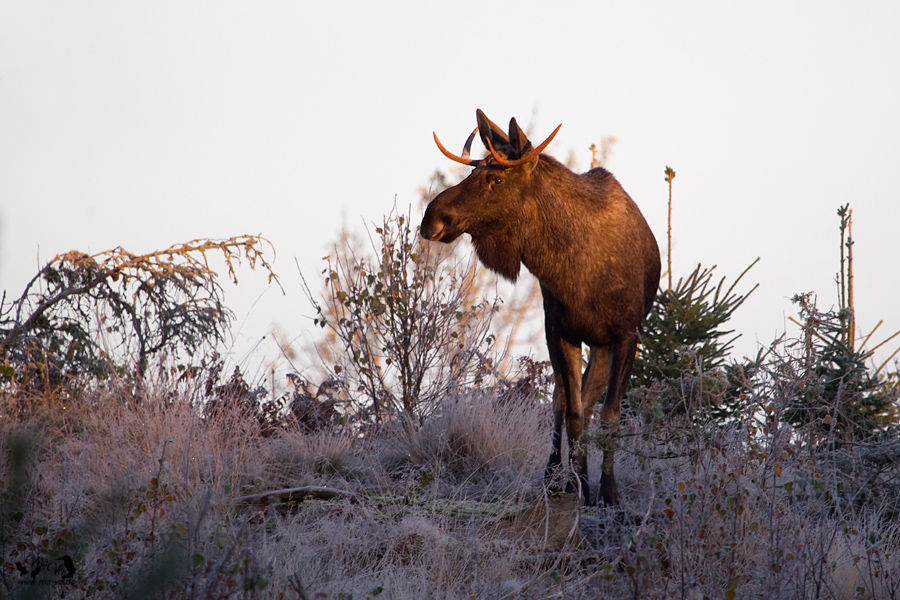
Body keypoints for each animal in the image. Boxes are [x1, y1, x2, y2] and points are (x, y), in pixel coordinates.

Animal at [422, 109, 660, 506]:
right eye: (473, 172)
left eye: (496, 178)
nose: (432, 219)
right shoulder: (561, 332)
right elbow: (573, 413)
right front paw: (578, 486)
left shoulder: (627, 334)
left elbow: (610, 415)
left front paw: (609, 493)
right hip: (564, 339)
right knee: (561, 403)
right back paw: (552, 477)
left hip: (601, 344)